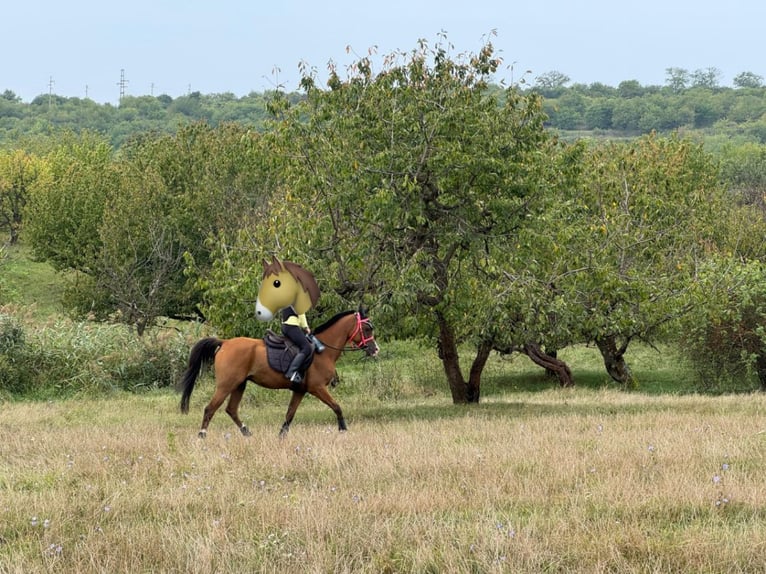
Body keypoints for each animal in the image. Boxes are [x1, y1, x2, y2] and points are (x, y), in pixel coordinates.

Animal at [178, 306, 379, 438]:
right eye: (367, 328)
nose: (375, 349)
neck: (323, 351)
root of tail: (225, 342)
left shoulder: (300, 390)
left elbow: (289, 414)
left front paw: (281, 435)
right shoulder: (317, 388)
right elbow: (337, 406)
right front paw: (343, 429)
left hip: (239, 384)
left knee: (231, 409)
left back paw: (246, 432)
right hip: (226, 384)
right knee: (210, 408)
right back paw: (202, 435)